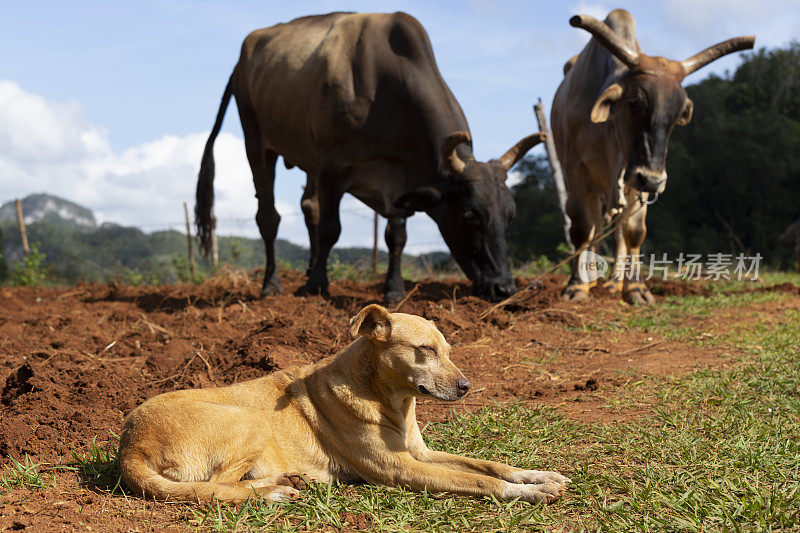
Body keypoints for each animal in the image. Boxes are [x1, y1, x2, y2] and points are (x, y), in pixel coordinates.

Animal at [117, 304, 568, 502]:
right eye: (424, 350)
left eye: (448, 350)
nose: (466, 387)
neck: (392, 401)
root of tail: (129, 446)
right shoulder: (401, 469)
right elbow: (481, 480)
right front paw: (527, 493)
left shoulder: (420, 454)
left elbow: (490, 464)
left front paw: (538, 475)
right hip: (251, 423)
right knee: (216, 487)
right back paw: (274, 490)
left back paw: (287, 481)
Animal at [195, 11, 544, 300]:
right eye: (470, 214)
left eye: (510, 215)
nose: (504, 288)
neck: (386, 89)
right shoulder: (333, 165)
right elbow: (330, 228)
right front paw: (316, 286)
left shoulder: (399, 177)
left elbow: (396, 235)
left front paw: (393, 289)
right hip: (256, 141)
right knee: (269, 217)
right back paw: (272, 285)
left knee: (309, 207)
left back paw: (307, 269)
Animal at [552, 8, 752, 302]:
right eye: (634, 103)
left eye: (677, 115)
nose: (655, 181)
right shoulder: (575, 167)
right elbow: (581, 227)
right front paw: (577, 285)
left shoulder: (637, 178)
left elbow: (634, 231)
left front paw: (635, 288)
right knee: (596, 226)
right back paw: (592, 277)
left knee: (617, 230)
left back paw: (613, 283)